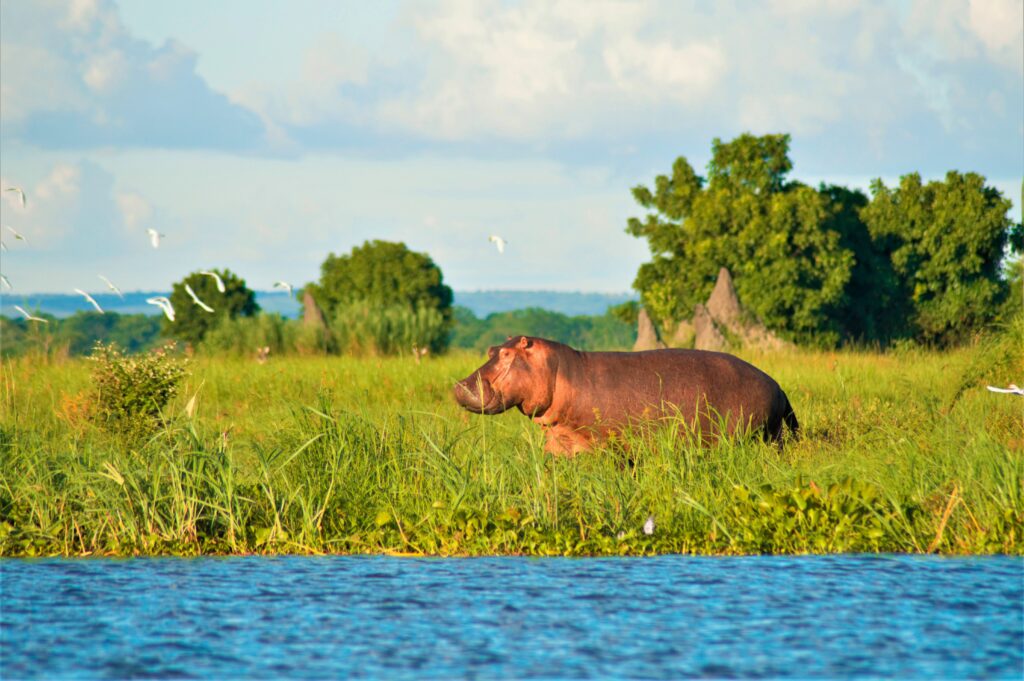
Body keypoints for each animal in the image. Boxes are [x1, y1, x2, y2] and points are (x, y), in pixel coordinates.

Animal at [454, 333, 798, 450]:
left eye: (507, 354)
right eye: (491, 349)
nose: (460, 385)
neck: (560, 370)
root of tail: (778, 386)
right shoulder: (561, 439)